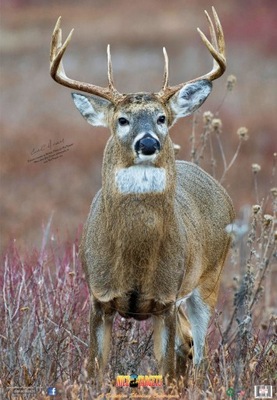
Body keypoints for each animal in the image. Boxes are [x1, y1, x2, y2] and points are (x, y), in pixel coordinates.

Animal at [49, 7, 233, 384]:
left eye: (162, 118)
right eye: (122, 119)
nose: (148, 142)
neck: (134, 260)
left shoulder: (166, 300)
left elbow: (166, 369)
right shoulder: (98, 297)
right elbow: (96, 368)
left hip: (208, 281)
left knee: (198, 351)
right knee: (189, 345)